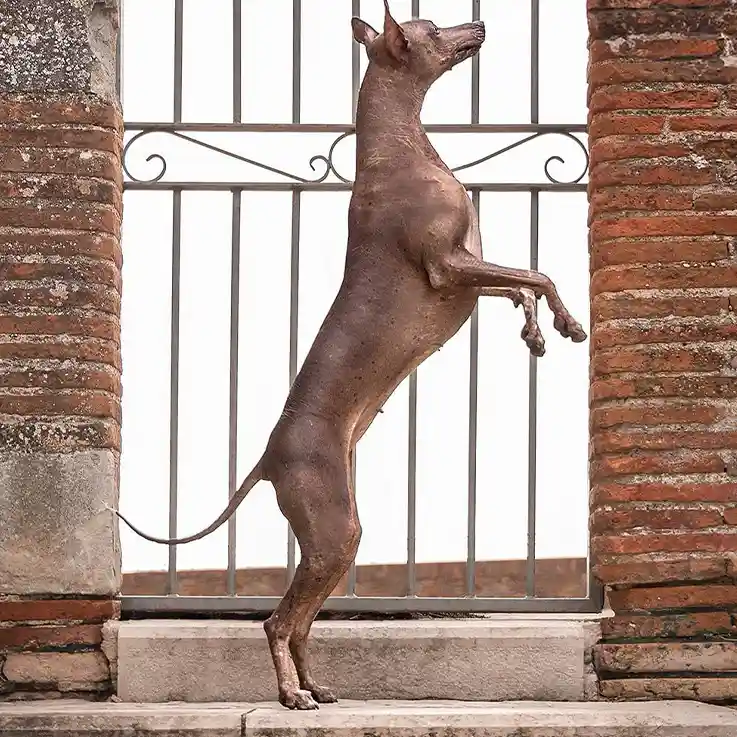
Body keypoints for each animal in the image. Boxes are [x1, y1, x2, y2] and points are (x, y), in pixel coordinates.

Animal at [115, 1, 586, 710]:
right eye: (431, 28)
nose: (479, 24)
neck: (401, 151)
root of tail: (267, 457)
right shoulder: (449, 268)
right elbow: (537, 273)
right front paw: (567, 323)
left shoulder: (468, 274)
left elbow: (521, 284)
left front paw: (537, 331)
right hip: (332, 527)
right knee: (278, 620)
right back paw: (291, 696)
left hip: (340, 539)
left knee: (302, 621)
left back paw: (314, 685)